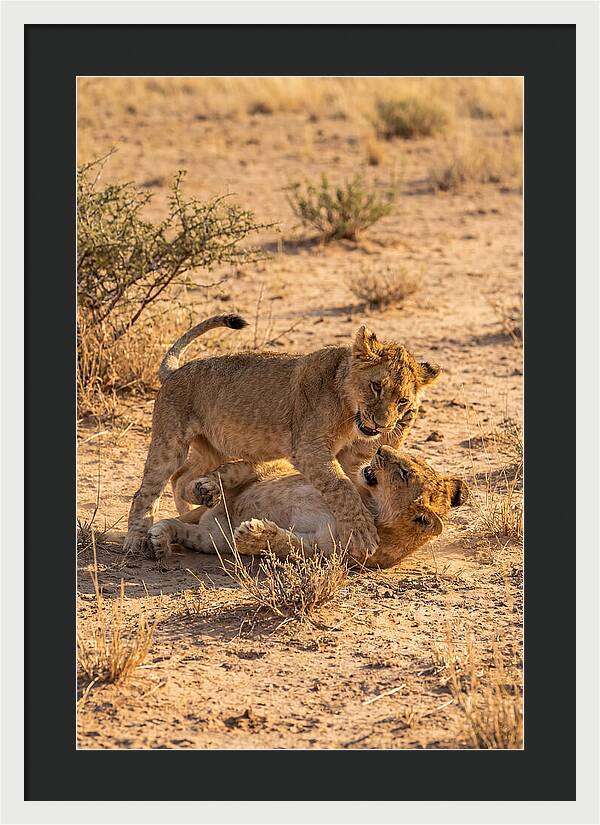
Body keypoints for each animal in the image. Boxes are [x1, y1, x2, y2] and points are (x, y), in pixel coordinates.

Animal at [124, 314, 440, 560]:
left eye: (402, 401)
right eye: (376, 386)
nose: (382, 424)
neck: (349, 410)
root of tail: (175, 372)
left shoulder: (352, 456)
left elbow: (353, 480)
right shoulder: (310, 448)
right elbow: (342, 487)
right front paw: (362, 532)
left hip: (214, 448)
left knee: (182, 478)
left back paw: (199, 501)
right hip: (170, 442)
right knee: (147, 490)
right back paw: (137, 540)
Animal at [147, 445, 468, 569]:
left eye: (403, 473)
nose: (380, 449)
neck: (371, 505)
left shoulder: (322, 551)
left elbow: (287, 544)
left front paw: (253, 534)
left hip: (212, 538)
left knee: (182, 528)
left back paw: (159, 540)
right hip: (261, 469)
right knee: (229, 472)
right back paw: (205, 489)